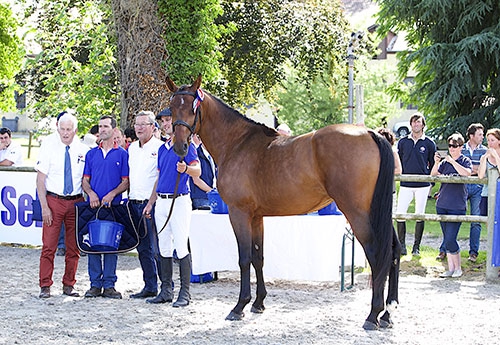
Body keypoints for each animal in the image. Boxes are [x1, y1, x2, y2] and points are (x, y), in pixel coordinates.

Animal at [166, 75, 400, 328]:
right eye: (172, 107)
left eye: (192, 108)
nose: (180, 146)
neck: (237, 143)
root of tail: (370, 133)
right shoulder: (256, 217)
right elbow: (258, 258)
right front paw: (258, 303)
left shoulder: (239, 214)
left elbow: (244, 258)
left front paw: (239, 306)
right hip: (379, 213)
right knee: (394, 252)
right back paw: (388, 313)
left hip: (359, 214)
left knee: (377, 255)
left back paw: (373, 315)